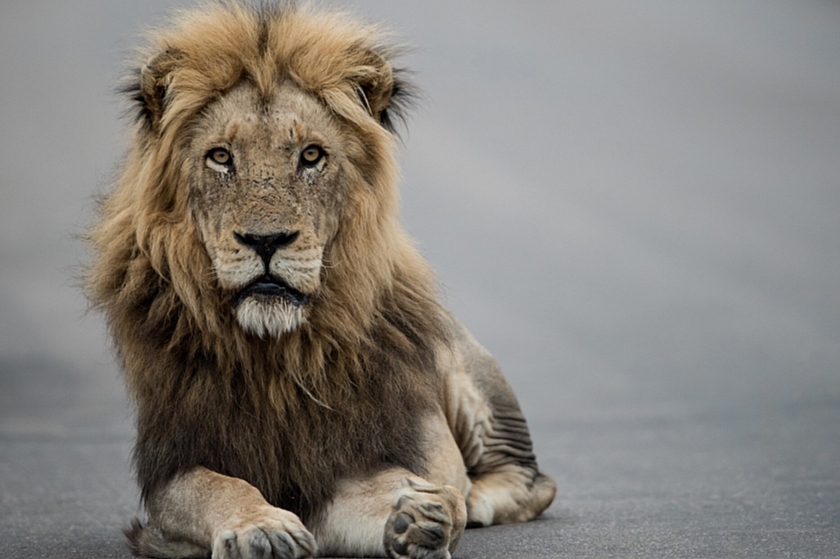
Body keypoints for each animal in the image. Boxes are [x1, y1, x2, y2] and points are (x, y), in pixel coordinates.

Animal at [87, 3, 556, 558]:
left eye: (311, 155)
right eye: (221, 156)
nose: (266, 240)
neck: (275, 356)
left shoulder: (359, 454)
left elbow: (388, 492)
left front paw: (418, 516)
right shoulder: (174, 466)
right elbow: (217, 489)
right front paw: (261, 527)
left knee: (532, 481)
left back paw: (476, 499)